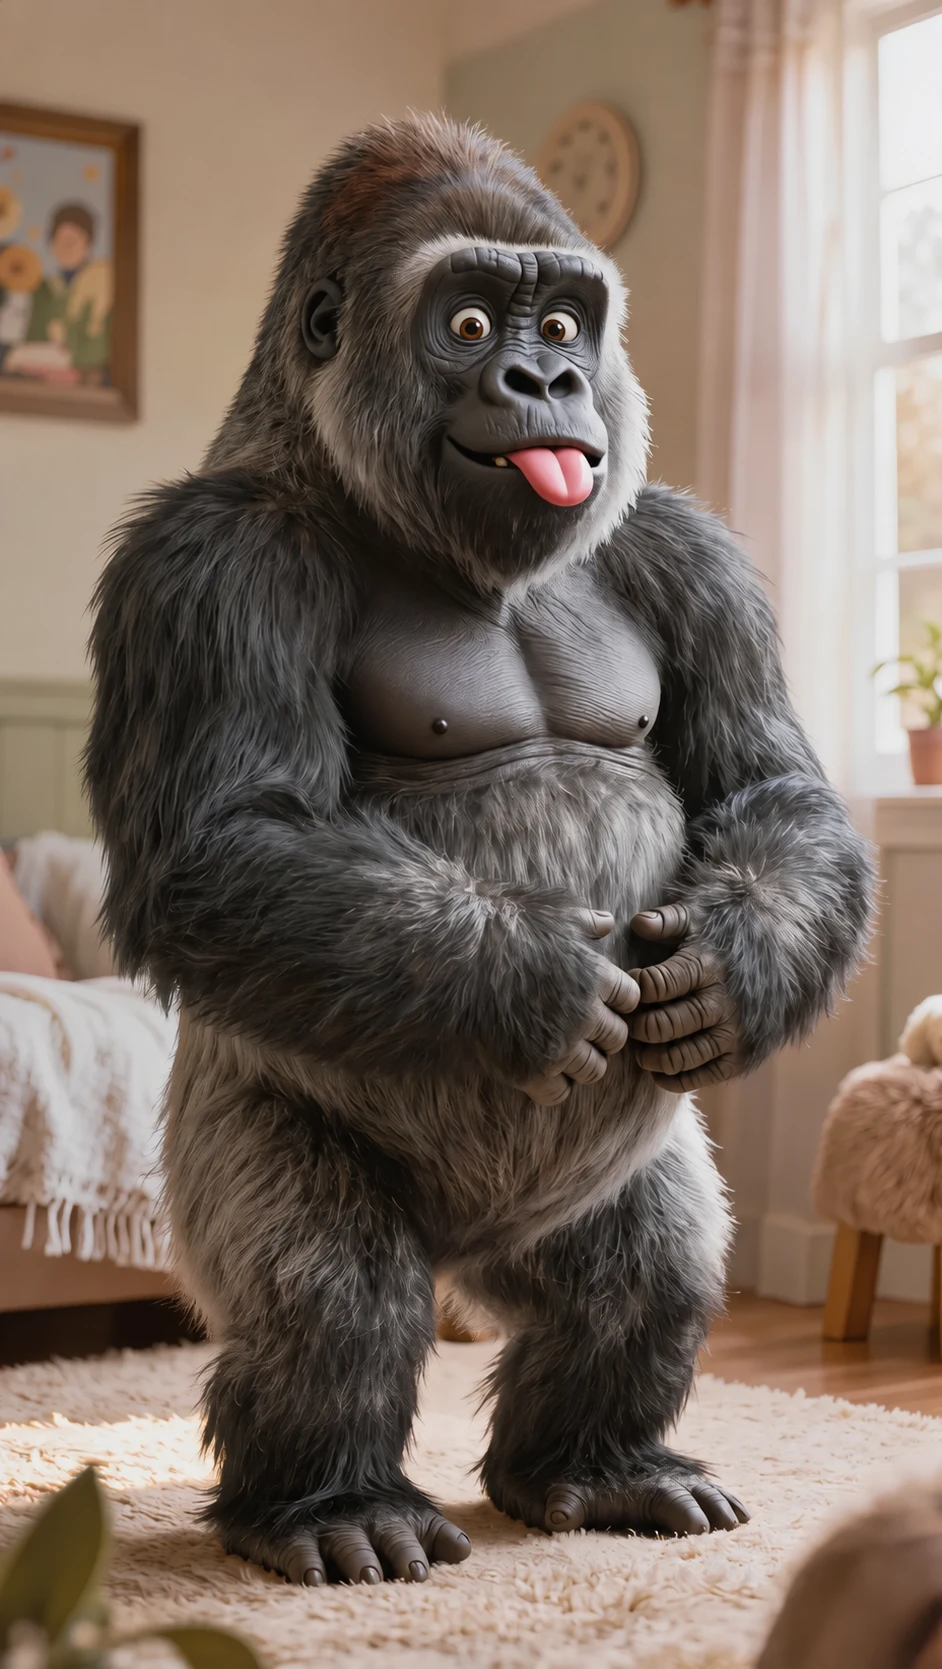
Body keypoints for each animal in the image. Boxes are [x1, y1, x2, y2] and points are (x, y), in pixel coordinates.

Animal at [85, 114, 874, 1588]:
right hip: (243, 1146)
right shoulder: (205, 561)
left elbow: (770, 787)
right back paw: (326, 1500)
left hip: (589, 1215)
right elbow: (223, 842)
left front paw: (734, 963)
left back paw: (592, 1465)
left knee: (650, 1272)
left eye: (563, 319)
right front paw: (531, 982)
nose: (545, 377)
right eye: (466, 322)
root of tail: (473, 1260)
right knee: (329, 1290)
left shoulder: (691, 548)